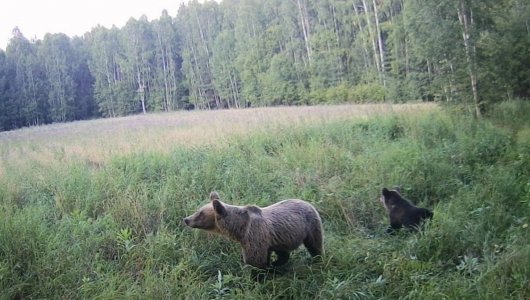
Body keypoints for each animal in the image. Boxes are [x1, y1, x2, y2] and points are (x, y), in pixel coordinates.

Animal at [182, 192, 322, 270]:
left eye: (200, 213)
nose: (186, 219)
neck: (239, 229)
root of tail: (307, 202)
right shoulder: (259, 241)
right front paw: (269, 266)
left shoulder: (254, 236)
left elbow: (254, 261)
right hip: (281, 236)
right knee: (282, 252)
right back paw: (277, 263)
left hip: (311, 226)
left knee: (315, 244)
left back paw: (317, 259)